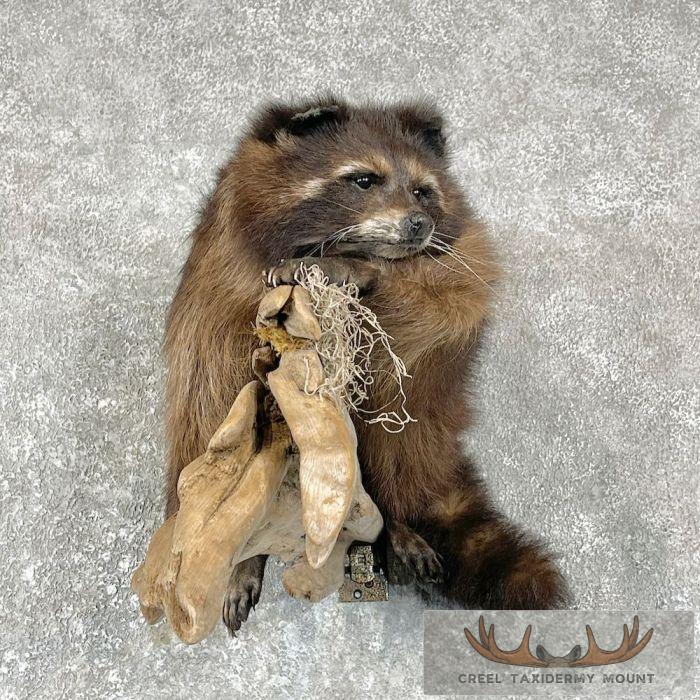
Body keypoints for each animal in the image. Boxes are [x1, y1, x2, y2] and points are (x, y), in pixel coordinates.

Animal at [164, 96, 570, 634]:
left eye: (423, 190)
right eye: (363, 180)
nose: (418, 223)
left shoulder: (459, 260)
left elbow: (452, 297)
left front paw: (353, 270)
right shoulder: (222, 278)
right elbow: (224, 380)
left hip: (422, 425)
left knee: (393, 435)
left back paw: (395, 519)